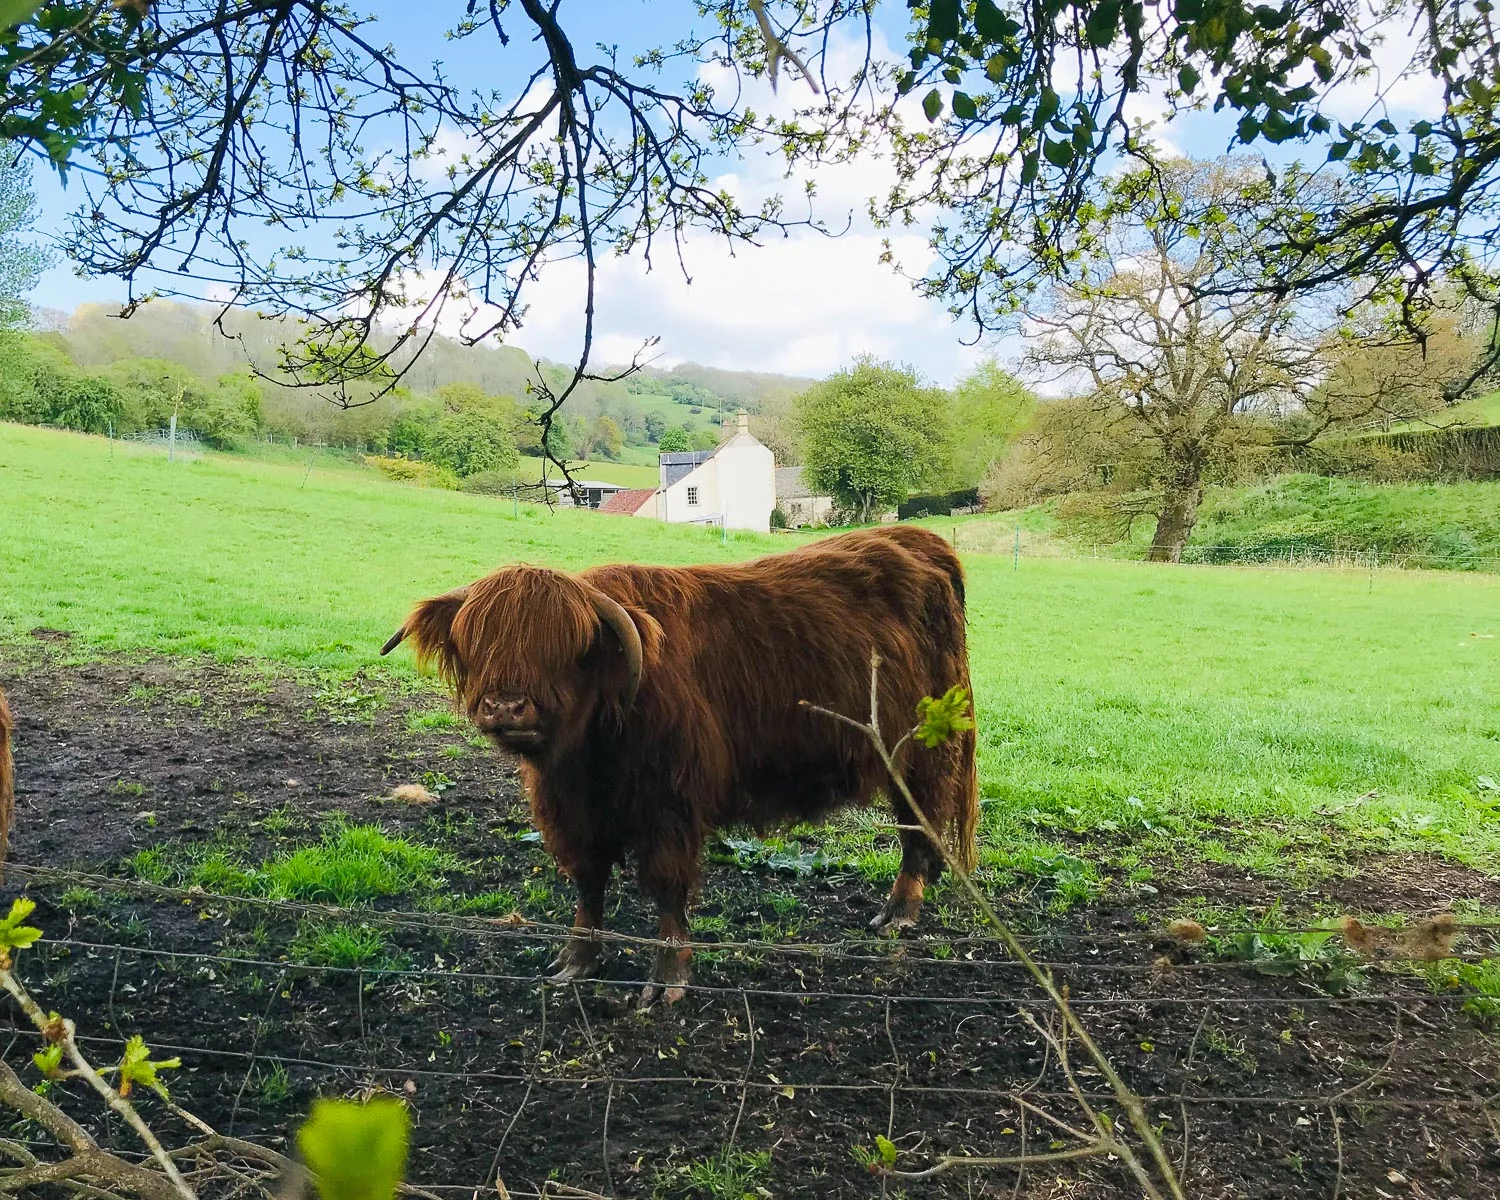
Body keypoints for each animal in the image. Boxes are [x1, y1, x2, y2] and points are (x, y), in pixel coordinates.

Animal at [380, 524, 979, 1004]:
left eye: (567, 648)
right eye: (478, 643)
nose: (506, 706)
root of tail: (916, 541)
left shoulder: (669, 805)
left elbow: (667, 889)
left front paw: (667, 979)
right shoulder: (570, 811)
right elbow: (588, 883)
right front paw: (577, 960)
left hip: (922, 752)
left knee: (919, 825)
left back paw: (898, 913)